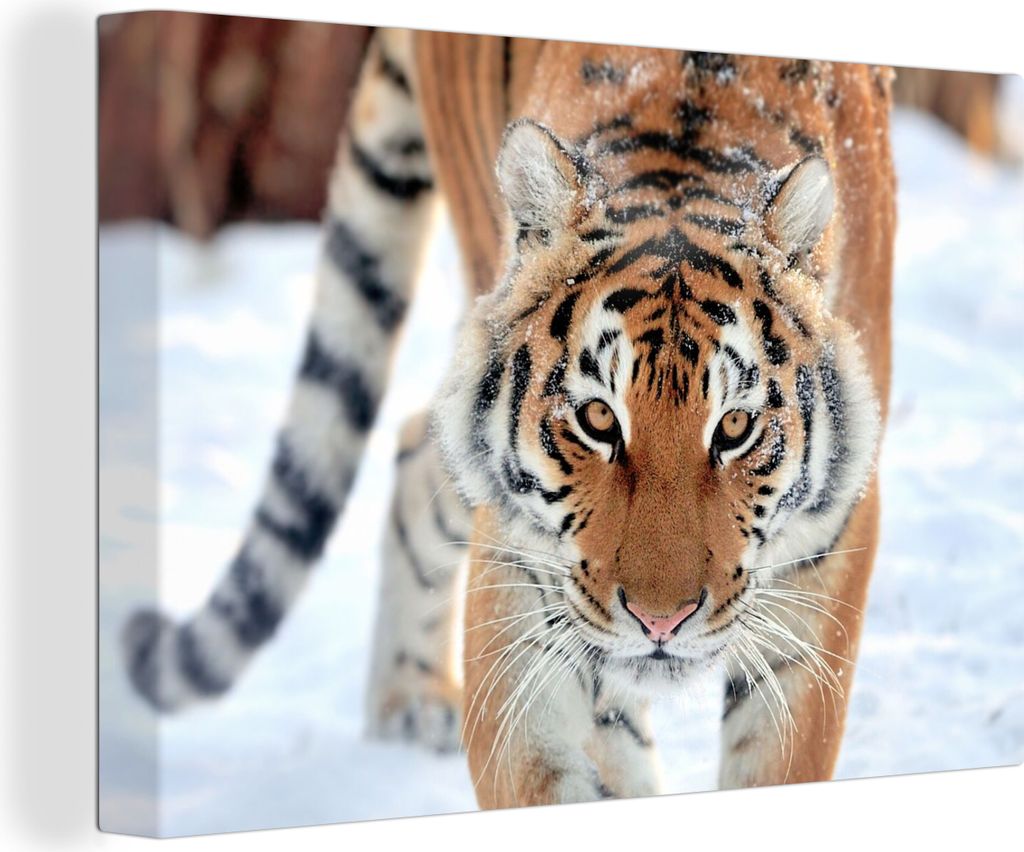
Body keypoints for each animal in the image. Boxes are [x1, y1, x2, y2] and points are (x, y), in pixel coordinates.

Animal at [122, 28, 895, 807]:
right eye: (598, 419)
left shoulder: (827, 557)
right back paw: (408, 704)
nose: (661, 621)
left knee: (415, 442)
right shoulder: (523, 584)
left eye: (734, 428)